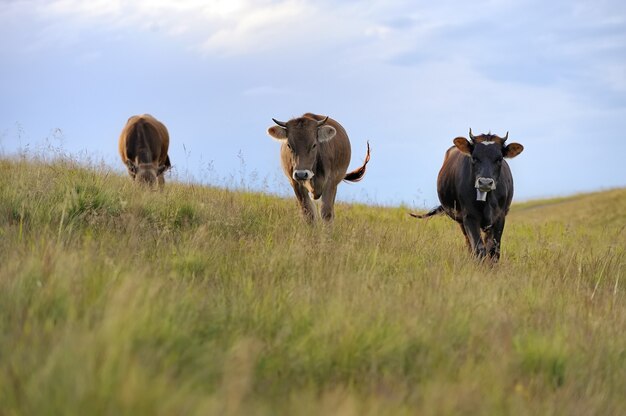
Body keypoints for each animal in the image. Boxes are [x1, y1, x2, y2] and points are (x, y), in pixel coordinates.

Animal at [412, 128, 524, 262]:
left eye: (499, 159)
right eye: (474, 158)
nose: (485, 182)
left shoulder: (499, 217)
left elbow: (493, 250)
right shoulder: (469, 216)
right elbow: (479, 248)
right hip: (461, 221)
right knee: (469, 243)